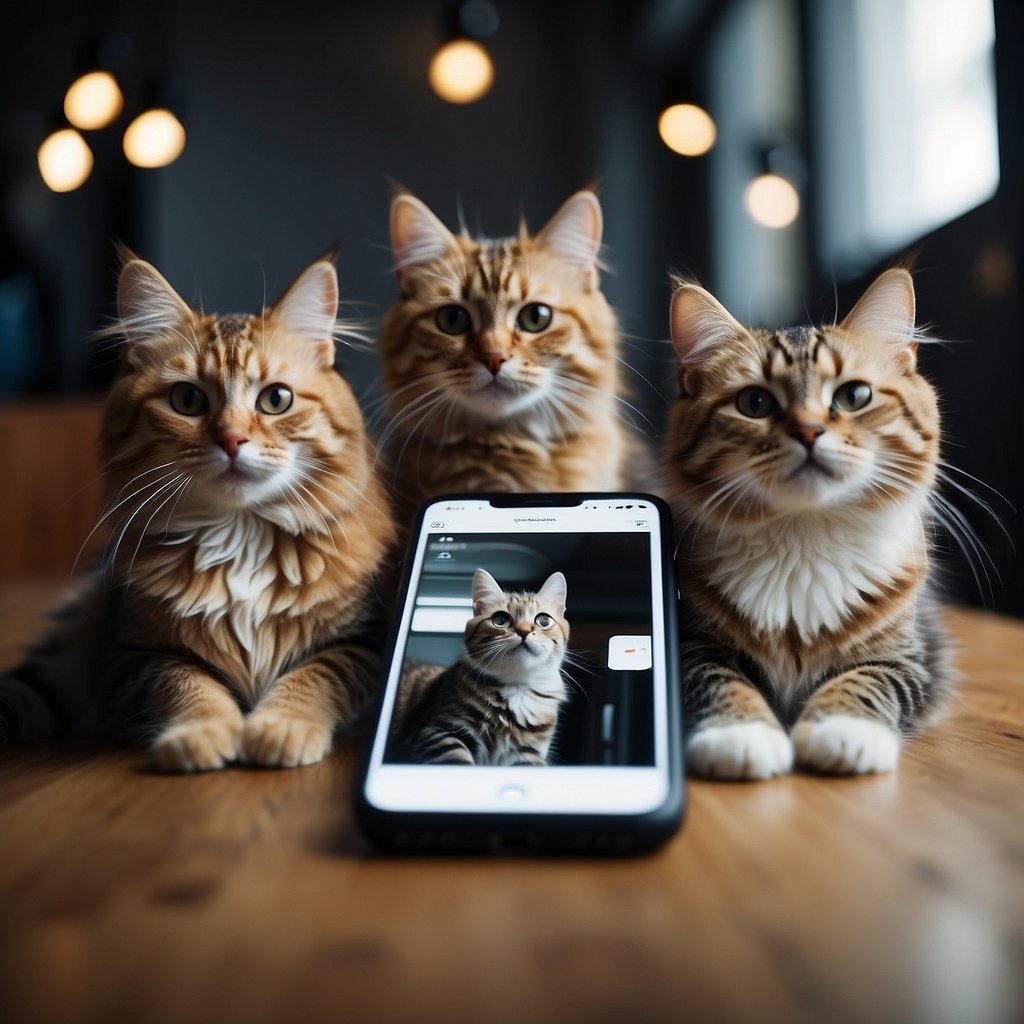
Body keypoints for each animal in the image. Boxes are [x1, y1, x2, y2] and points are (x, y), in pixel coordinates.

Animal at [0, 251, 395, 770]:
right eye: (187, 400)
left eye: (276, 399)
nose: (232, 440)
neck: (241, 537)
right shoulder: (138, 654)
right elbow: (190, 687)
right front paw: (200, 736)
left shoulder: (361, 641)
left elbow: (313, 677)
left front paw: (280, 730)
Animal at [389, 569, 573, 770]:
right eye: (500, 620)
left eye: (544, 620)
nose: (523, 631)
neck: (517, 685)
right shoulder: (439, 733)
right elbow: (459, 761)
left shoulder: (527, 754)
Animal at [663, 268, 950, 778]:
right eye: (755, 403)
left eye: (854, 396)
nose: (809, 431)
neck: (803, 539)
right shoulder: (692, 644)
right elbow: (720, 680)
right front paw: (742, 736)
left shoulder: (908, 657)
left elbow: (866, 681)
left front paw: (842, 732)